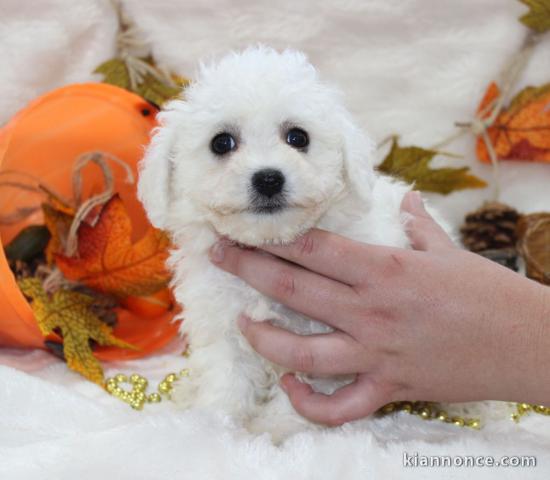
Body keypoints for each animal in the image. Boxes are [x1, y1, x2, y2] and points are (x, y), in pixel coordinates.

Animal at [138, 47, 448, 440]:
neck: (271, 243)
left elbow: (300, 386)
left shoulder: (324, 343)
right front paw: (219, 423)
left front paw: (279, 428)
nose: (268, 178)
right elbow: (228, 377)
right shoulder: (223, 324)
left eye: (298, 138)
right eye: (221, 143)